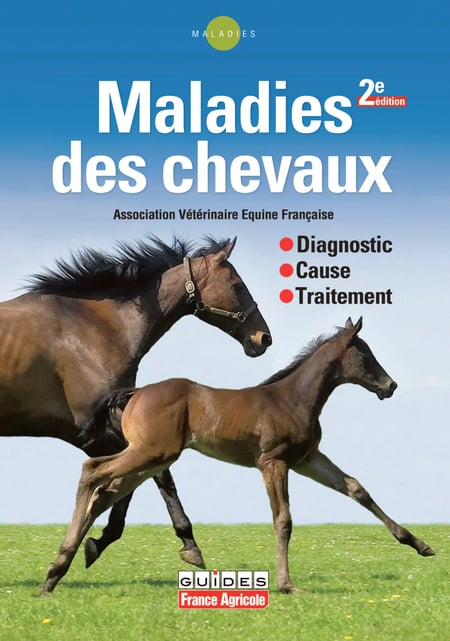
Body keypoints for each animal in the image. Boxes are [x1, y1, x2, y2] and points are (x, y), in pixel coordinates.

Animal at [0, 235, 272, 570]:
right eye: (237, 285)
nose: (263, 338)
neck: (92, 327)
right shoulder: (95, 433)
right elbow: (145, 478)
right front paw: (187, 544)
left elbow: (133, 481)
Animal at [39, 317, 434, 594]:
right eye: (364, 352)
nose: (390, 386)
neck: (292, 399)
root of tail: (135, 393)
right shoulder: (273, 462)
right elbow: (283, 520)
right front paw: (287, 584)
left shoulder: (307, 459)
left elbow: (356, 488)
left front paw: (420, 545)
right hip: (151, 452)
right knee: (93, 471)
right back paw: (58, 569)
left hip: (154, 457)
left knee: (104, 491)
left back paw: (62, 568)